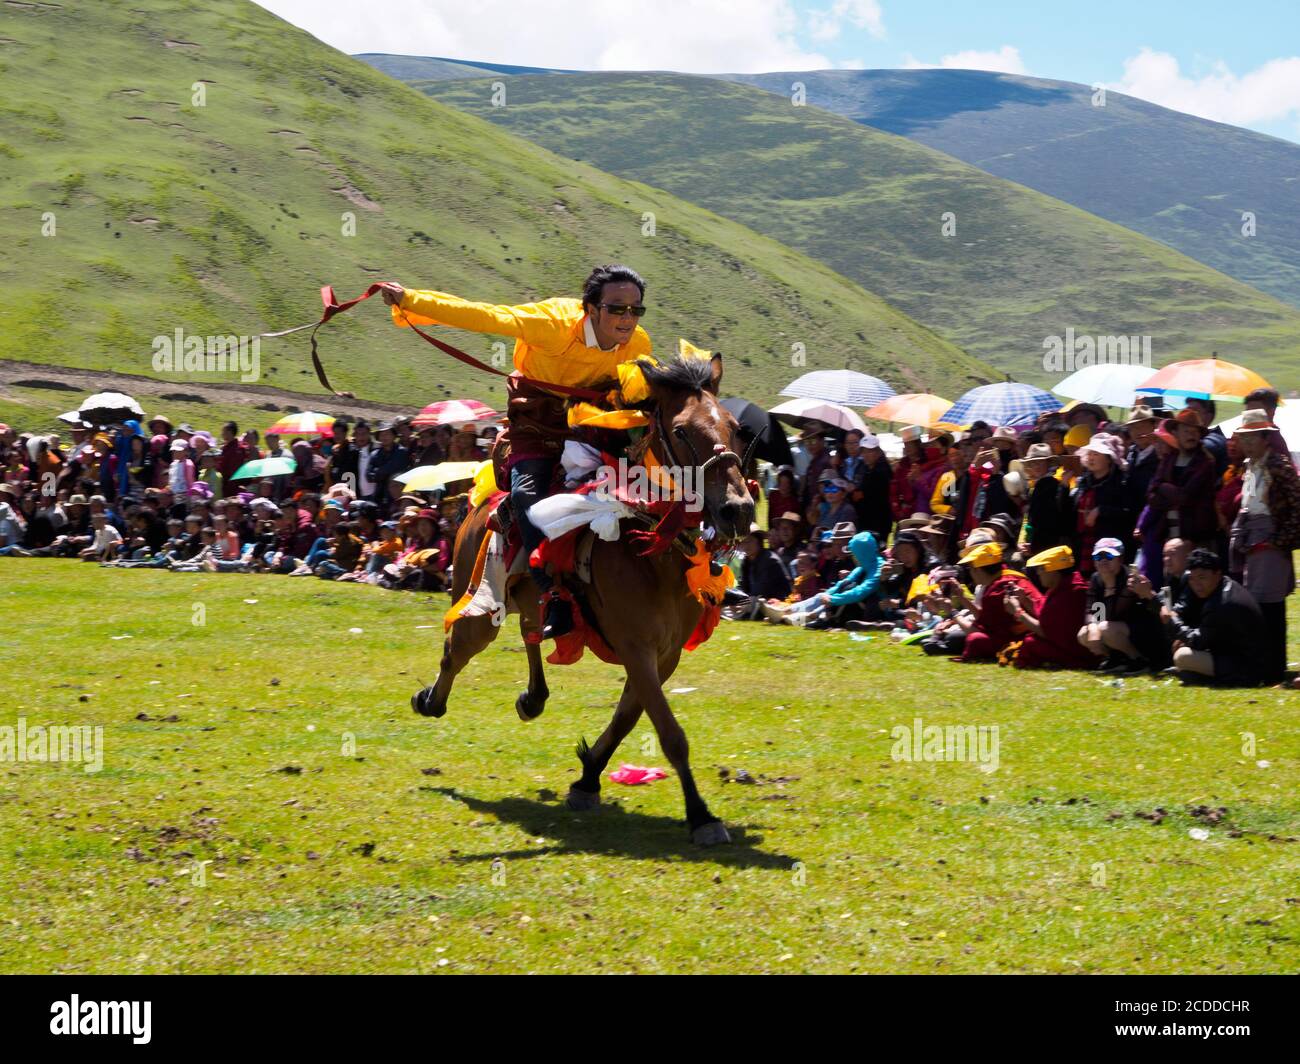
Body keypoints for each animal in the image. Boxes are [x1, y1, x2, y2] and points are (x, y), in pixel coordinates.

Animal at [410, 351, 759, 842]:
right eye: (681, 430)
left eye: (735, 427)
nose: (738, 510)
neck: (651, 548)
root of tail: (478, 502)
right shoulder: (637, 647)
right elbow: (670, 733)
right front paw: (701, 816)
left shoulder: (664, 654)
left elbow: (629, 717)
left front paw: (589, 776)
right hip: (479, 601)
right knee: (456, 649)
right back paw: (431, 700)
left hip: (528, 599)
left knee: (530, 628)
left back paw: (533, 696)